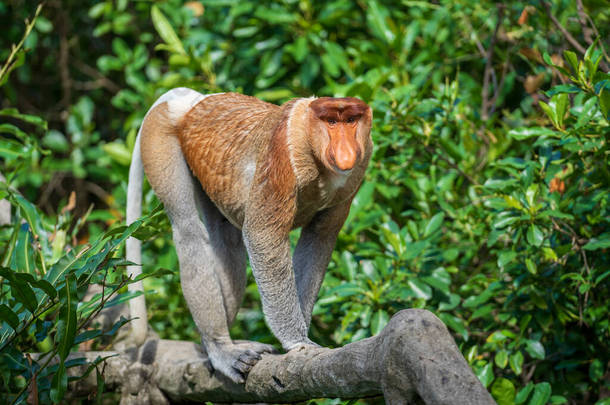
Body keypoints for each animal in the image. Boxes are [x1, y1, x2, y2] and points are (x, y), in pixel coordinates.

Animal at [125, 87, 370, 382]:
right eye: (332, 121)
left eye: (351, 121)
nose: (346, 152)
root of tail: (189, 100)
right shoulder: (281, 155)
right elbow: (263, 234)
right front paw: (298, 342)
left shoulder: (355, 176)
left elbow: (319, 238)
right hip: (160, 136)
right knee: (188, 230)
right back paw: (220, 349)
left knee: (226, 238)